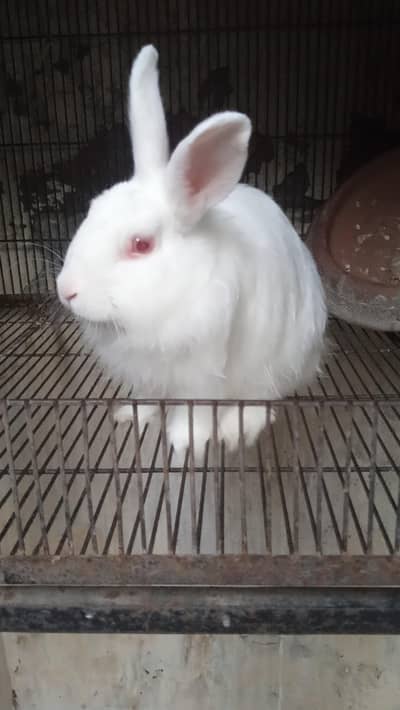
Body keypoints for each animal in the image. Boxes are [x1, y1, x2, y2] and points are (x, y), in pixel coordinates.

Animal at [56, 45, 327, 453]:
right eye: (90, 210)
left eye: (141, 244)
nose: (65, 290)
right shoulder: (146, 374)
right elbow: (147, 397)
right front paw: (132, 415)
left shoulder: (201, 373)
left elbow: (196, 413)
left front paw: (183, 443)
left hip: (281, 360)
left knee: (263, 398)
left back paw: (236, 432)